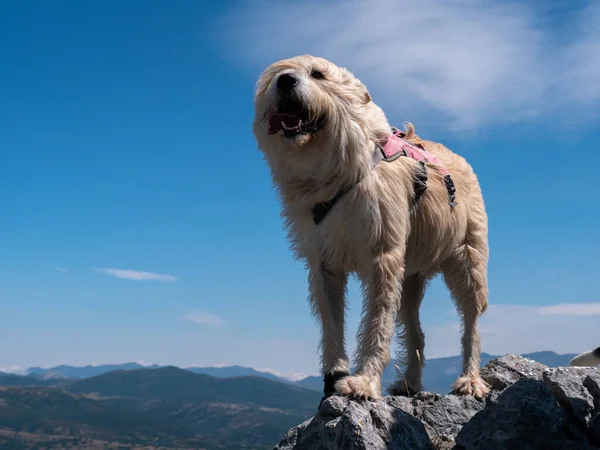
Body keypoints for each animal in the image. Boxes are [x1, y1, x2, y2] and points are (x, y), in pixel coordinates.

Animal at [251, 54, 490, 402]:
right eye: (273, 77)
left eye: (318, 75)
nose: (285, 81)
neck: (333, 172)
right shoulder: (324, 263)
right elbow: (332, 323)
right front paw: (334, 377)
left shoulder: (382, 258)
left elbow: (377, 323)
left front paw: (363, 382)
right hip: (411, 277)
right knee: (417, 333)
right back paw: (410, 383)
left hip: (467, 261)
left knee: (471, 320)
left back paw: (470, 380)